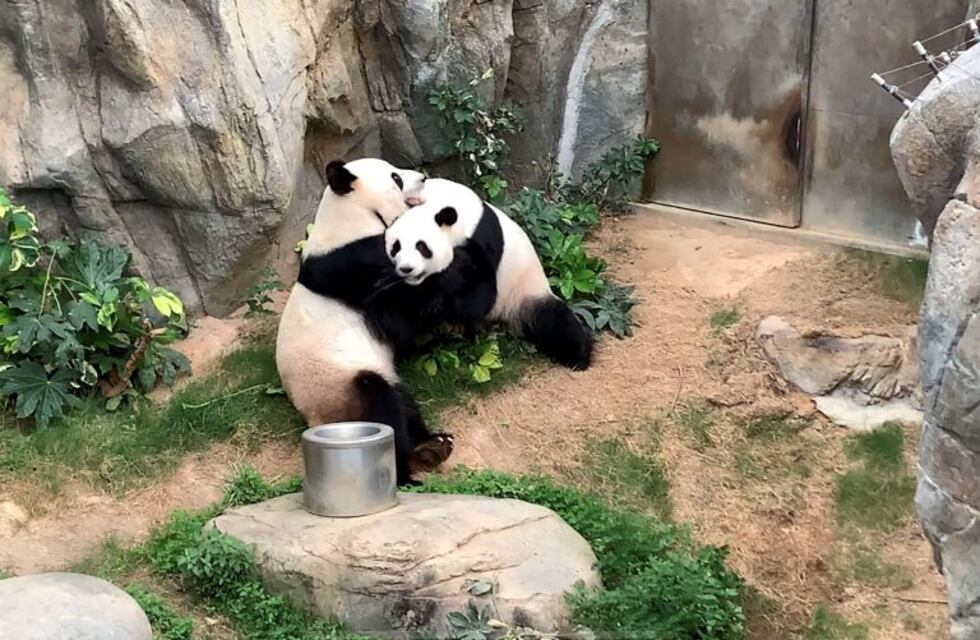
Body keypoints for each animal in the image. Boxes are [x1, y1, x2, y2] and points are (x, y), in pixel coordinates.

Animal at [276, 158, 453, 486]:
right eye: (396, 178)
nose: (423, 178)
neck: (350, 218)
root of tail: (314, 420)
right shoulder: (354, 266)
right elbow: (395, 317)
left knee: (404, 403)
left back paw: (432, 446)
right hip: (339, 388)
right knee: (381, 404)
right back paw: (406, 468)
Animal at [383, 178, 594, 370]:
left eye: (422, 247)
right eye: (396, 247)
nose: (406, 269)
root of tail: (503, 318)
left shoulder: (482, 240)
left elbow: (479, 298)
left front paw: (444, 289)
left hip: (524, 292)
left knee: (554, 322)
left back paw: (579, 357)